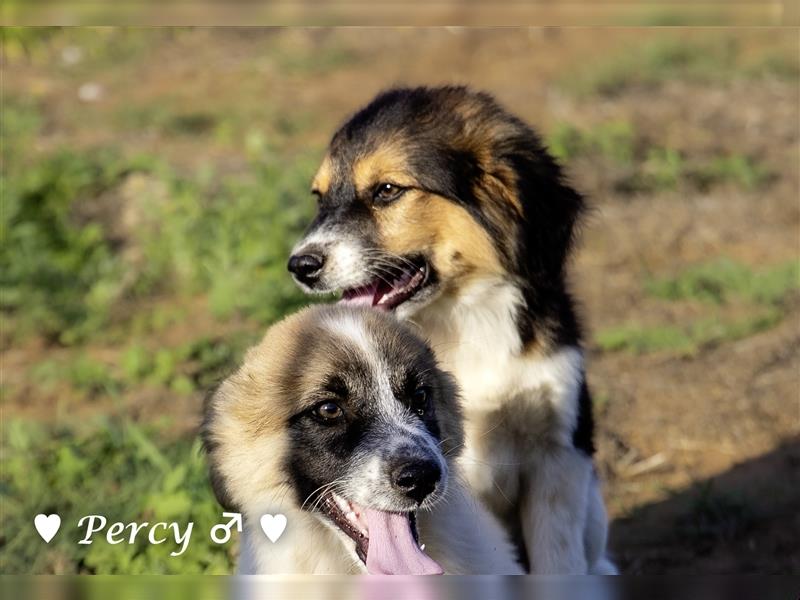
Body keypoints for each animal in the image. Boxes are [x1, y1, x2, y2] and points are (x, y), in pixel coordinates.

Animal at [290, 86, 616, 576]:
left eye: (388, 190)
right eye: (319, 197)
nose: (300, 265)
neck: (462, 318)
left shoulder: (559, 453)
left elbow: (558, 562)